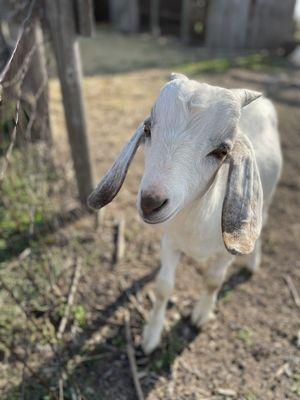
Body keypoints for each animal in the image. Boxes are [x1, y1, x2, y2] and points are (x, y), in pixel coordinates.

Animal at [88, 73, 282, 354]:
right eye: (148, 130)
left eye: (222, 151)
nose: (151, 202)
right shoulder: (170, 241)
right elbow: (162, 286)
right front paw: (150, 336)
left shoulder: (224, 253)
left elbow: (213, 280)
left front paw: (200, 315)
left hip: (264, 201)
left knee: (263, 222)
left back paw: (253, 262)